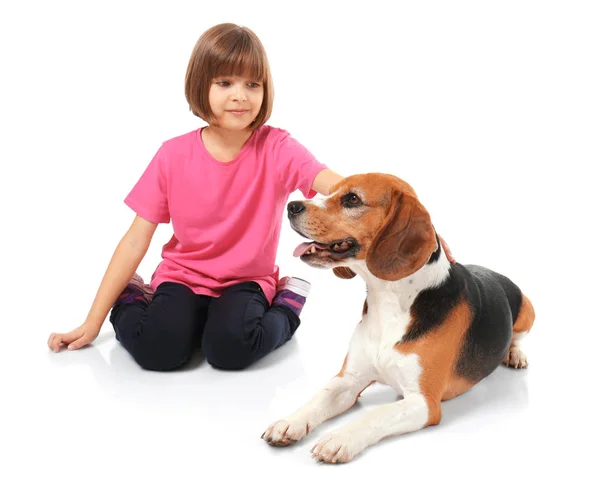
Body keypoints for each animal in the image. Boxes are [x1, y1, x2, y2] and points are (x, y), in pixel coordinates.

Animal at [262, 173, 536, 462]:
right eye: (330, 191)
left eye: (352, 199)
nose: (291, 206)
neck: (390, 301)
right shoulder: (349, 380)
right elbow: (320, 397)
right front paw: (290, 422)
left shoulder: (424, 402)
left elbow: (377, 413)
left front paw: (340, 438)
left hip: (527, 309)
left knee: (517, 338)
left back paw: (515, 355)